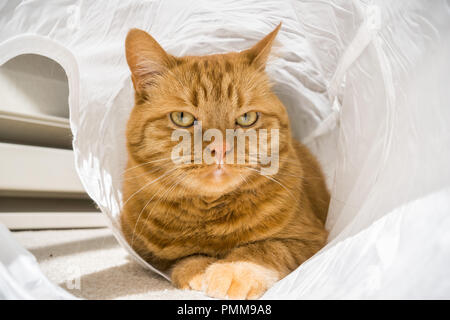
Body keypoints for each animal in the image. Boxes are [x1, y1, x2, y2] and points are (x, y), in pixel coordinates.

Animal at [120, 23, 330, 298]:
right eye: (182, 118)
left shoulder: (310, 238)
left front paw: (232, 270)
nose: (220, 147)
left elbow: (263, 249)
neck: (210, 213)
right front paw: (199, 272)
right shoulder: (147, 255)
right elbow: (185, 257)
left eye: (247, 118)